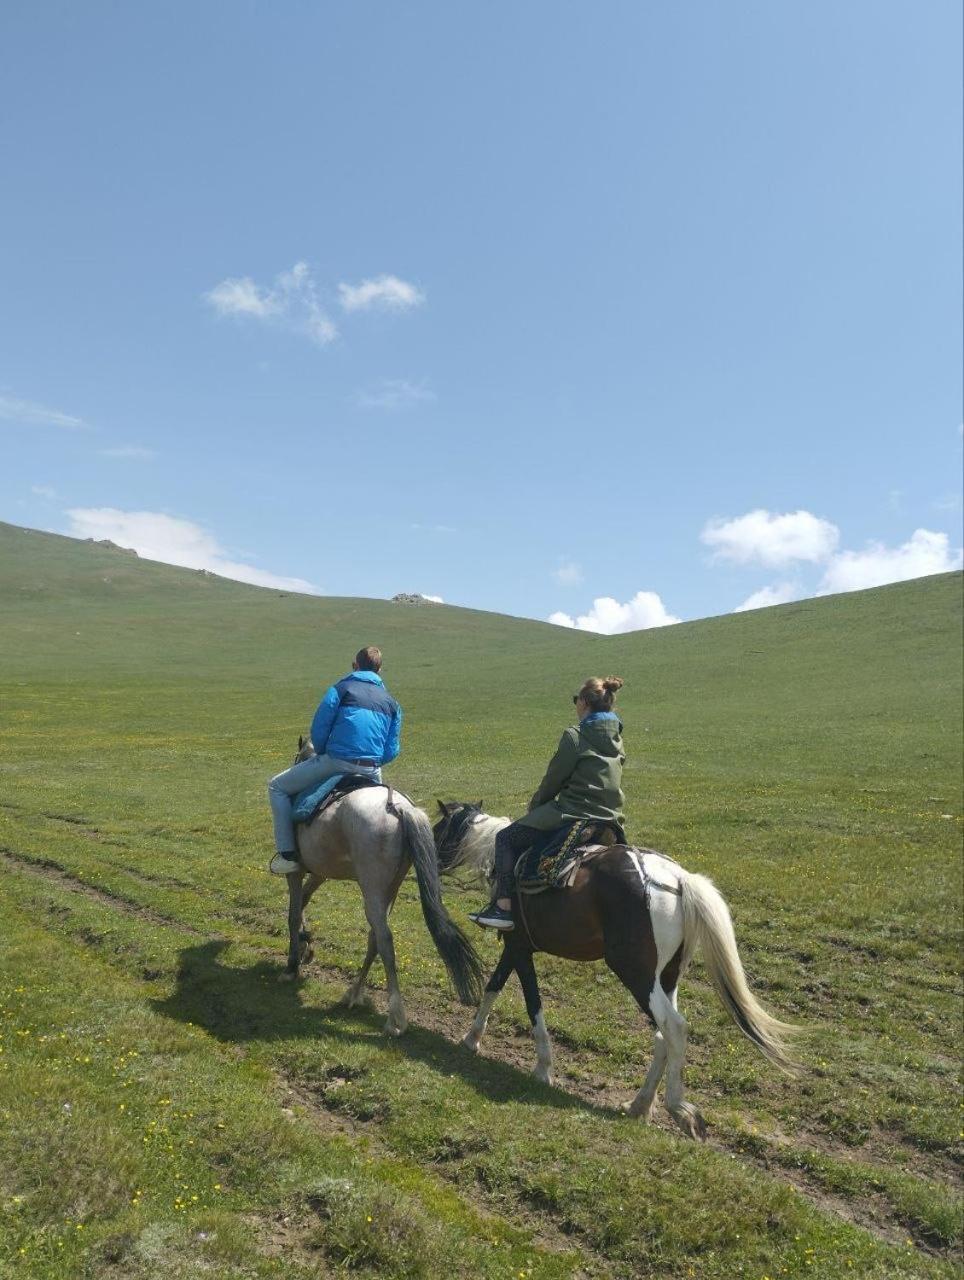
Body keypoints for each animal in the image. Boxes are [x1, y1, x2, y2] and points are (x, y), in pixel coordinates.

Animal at [277, 742, 481, 1029]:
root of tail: (398, 808)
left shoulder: (294, 872)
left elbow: (293, 912)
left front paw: (292, 965)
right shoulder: (319, 873)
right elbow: (304, 901)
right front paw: (307, 944)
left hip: (372, 889)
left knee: (384, 937)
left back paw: (395, 1016)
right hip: (388, 889)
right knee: (375, 936)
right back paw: (354, 993)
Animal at [435, 798, 798, 1141]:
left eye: (439, 829)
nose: (431, 860)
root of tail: (678, 880)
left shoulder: (519, 947)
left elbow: (527, 1001)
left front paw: (540, 1066)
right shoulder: (516, 949)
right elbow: (494, 986)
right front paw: (472, 1038)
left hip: (635, 972)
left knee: (674, 1027)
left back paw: (679, 1110)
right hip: (665, 977)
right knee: (662, 1034)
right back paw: (639, 1105)